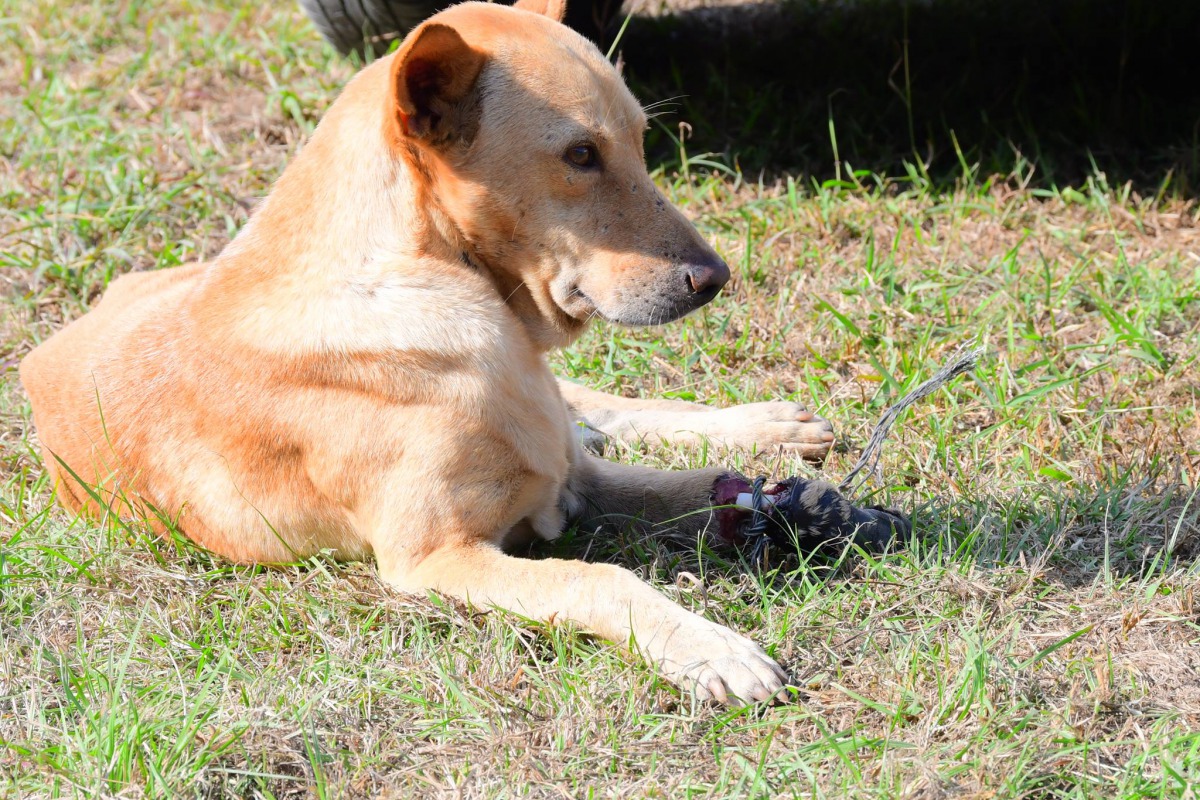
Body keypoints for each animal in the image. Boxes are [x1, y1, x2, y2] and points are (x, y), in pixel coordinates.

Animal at [16, 0, 835, 700]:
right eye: (580, 154)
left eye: (640, 140)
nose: (717, 279)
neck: (423, 272)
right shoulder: (436, 556)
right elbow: (598, 577)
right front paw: (712, 648)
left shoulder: (573, 475)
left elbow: (696, 485)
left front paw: (790, 496)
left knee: (600, 410)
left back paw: (772, 424)